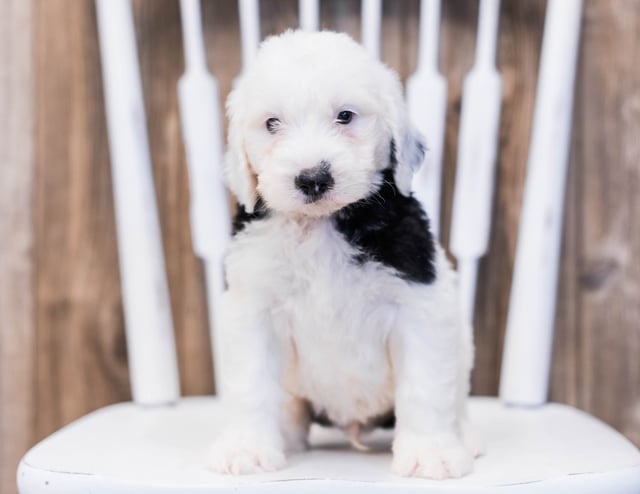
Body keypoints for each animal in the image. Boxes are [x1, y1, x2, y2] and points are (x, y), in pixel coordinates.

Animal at [210, 29, 476, 478]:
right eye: (271, 124)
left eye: (346, 116)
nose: (312, 178)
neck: (320, 224)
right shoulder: (253, 307)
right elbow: (249, 384)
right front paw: (247, 449)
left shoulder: (418, 303)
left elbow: (424, 386)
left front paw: (430, 453)